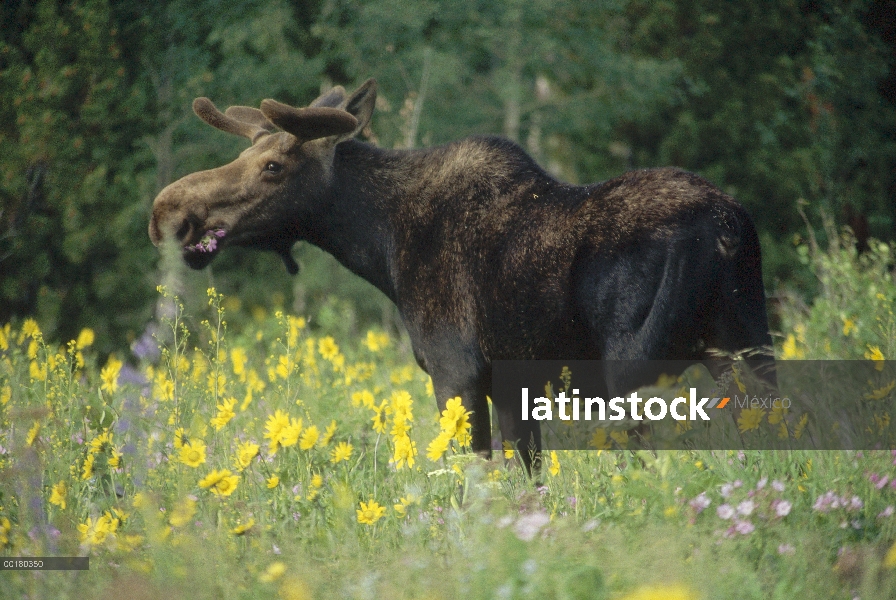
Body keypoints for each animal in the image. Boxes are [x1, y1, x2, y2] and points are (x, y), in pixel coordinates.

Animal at [150, 76, 772, 468]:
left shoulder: (457, 372)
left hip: (638, 365)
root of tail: (727, 227)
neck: (380, 246)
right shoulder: (513, 382)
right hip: (745, 345)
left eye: (273, 166)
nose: (168, 213)